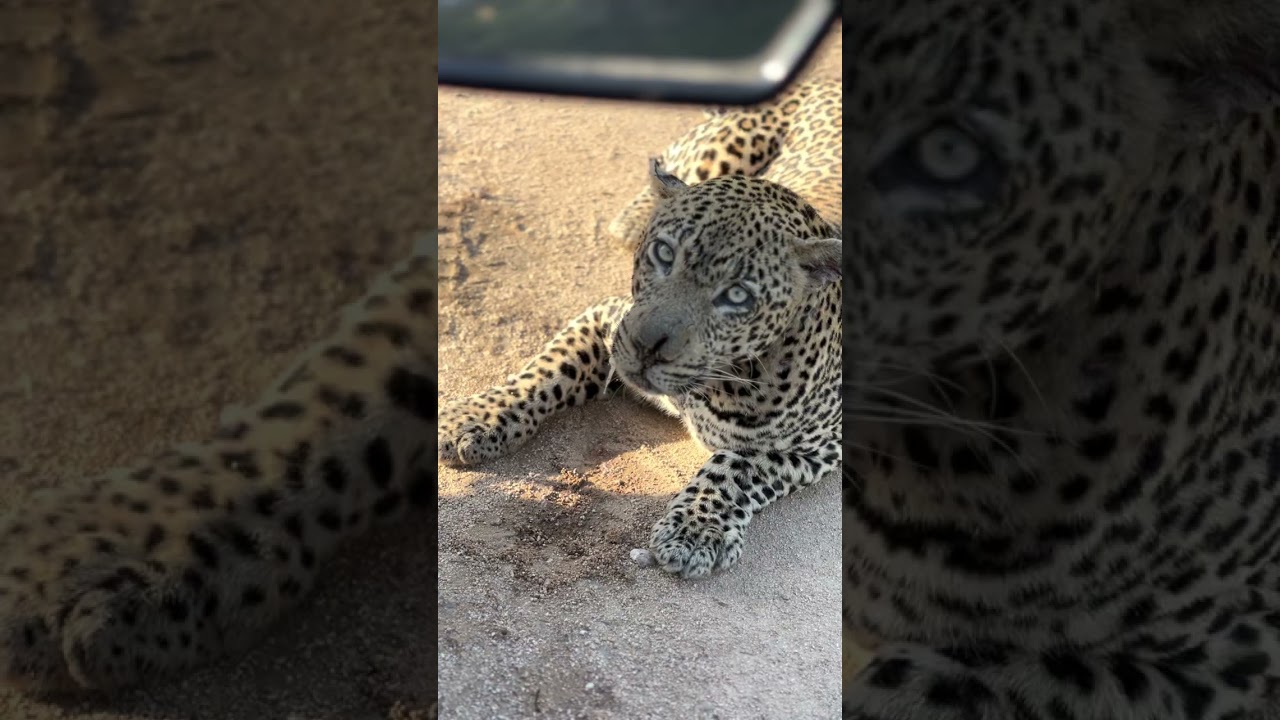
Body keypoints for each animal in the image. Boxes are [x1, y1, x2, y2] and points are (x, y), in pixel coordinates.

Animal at [437, 81, 843, 581]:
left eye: (737, 295)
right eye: (665, 253)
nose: (646, 347)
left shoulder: (820, 442)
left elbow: (737, 467)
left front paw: (694, 531)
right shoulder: (607, 318)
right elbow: (544, 373)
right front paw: (473, 419)